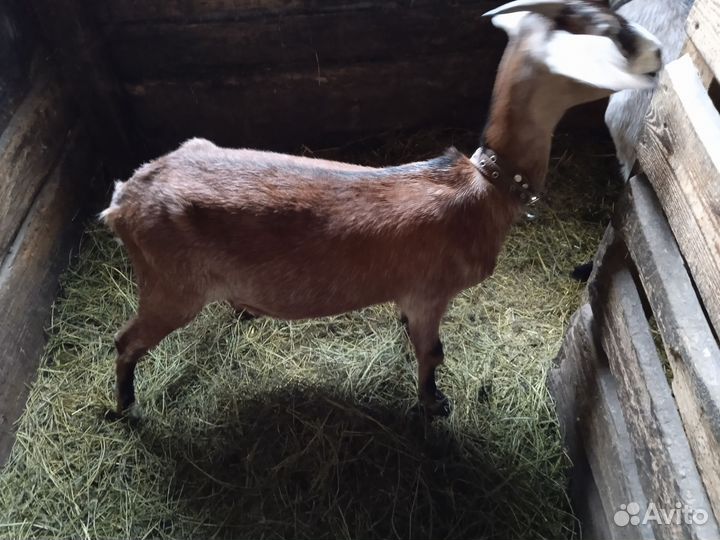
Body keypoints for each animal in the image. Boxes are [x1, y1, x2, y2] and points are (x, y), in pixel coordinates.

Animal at [101, 0, 662, 418]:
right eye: (612, 33)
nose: (657, 53)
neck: (481, 189)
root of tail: (123, 199)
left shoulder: (412, 295)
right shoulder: (431, 292)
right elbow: (432, 353)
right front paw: (433, 406)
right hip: (171, 286)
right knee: (125, 342)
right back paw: (126, 409)